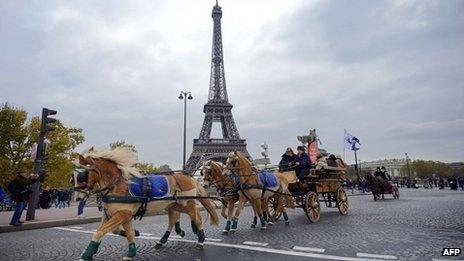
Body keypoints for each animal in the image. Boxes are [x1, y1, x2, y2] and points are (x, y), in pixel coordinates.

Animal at [77, 147, 218, 258]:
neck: (117, 185)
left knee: (197, 217)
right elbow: (120, 232)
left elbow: (101, 232)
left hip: (186, 204)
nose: (78, 197)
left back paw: (200, 240)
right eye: (75, 175)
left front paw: (86, 255)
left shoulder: (123, 214)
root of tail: (190, 178)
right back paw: (164, 240)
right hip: (174, 205)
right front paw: (131, 248)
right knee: (174, 220)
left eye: (84, 174)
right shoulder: (114, 214)